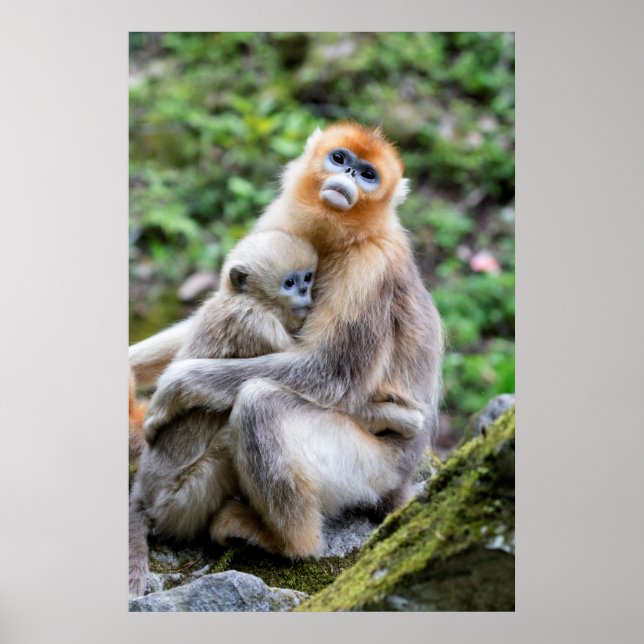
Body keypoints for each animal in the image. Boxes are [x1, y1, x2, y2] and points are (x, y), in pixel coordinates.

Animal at [128, 228, 423, 596]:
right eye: (289, 283)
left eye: (308, 278)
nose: (305, 293)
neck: (244, 300)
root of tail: (144, 493)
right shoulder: (259, 324)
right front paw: (392, 417)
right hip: (185, 501)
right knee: (249, 410)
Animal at [133, 121, 443, 561]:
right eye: (340, 158)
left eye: (369, 175)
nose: (350, 175)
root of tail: (400, 481)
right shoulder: (282, 218)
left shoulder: (372, 266)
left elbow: (332, 374)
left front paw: (175, 387)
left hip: (371, 470)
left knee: (259, 403)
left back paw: (286, 542)